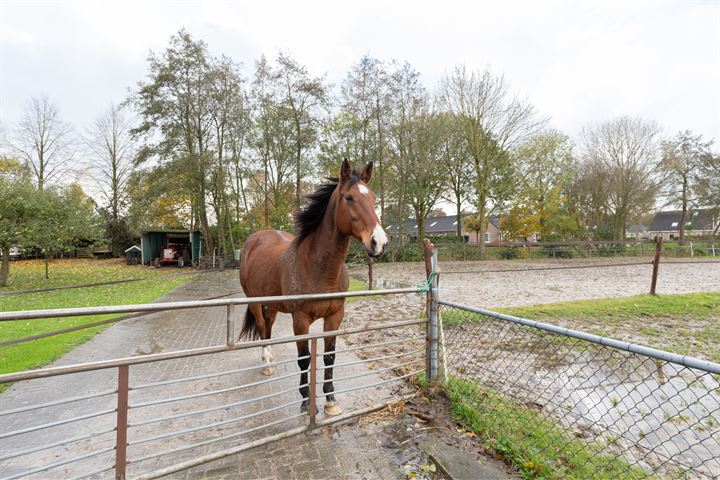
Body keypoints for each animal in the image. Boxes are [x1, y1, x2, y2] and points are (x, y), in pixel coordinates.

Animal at [239, 159, 388, 414]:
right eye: (349, 198)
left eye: (373, 198)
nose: (379, 242)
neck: (319, 270)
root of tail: (253, 240)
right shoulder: (300, 320)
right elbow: (304, 359)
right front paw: (307, 401)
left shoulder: (335, 316)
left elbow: (329, 356)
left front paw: (330, 401)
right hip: (255, 301)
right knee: (260, 326)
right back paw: (267, 362)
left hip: (273, 305)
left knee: (267, 326)